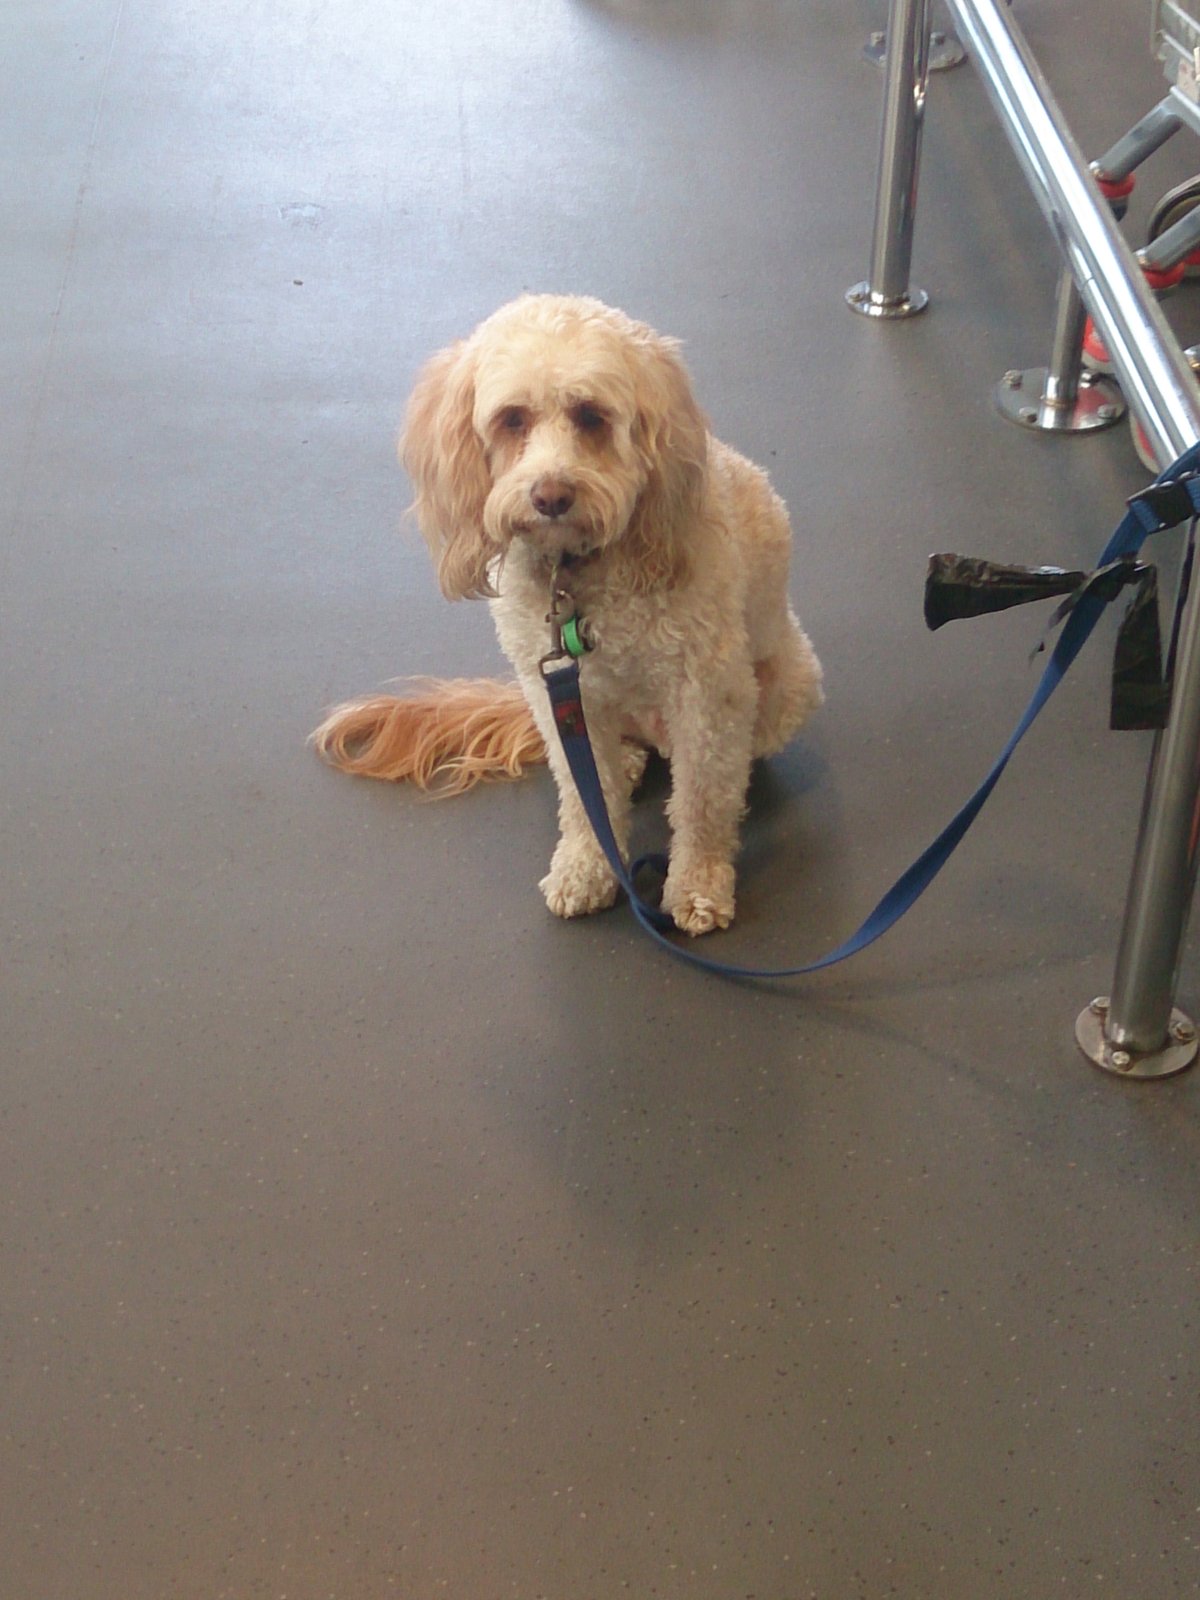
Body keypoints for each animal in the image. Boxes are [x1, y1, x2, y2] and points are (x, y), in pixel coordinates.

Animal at [312, 294, 825, 934]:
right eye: (512, 419)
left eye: (590, 416)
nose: (550, 496)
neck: (576, 571)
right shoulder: (549, 689)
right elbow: (585, 796)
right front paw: (587, 867)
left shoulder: (708, 694)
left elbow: (703, 800)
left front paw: (698, 884)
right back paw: (627, 761)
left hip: (787, 687)